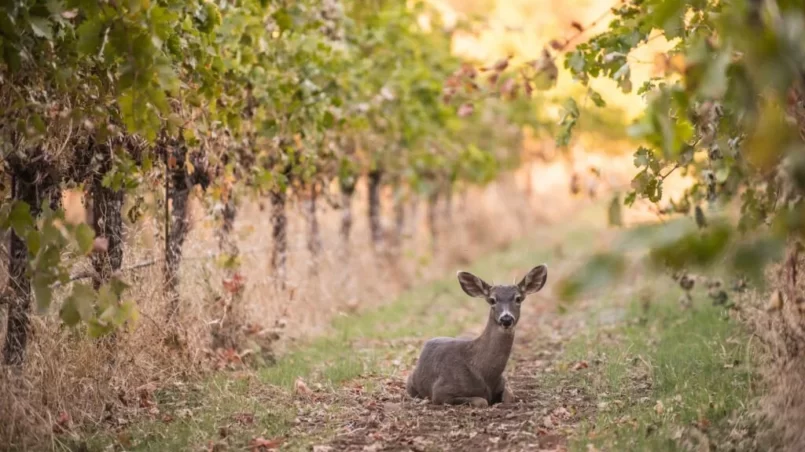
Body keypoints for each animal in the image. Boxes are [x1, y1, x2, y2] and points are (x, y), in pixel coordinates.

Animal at [408, 264, 548, 408]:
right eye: (492, 300)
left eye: (518, 298)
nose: (506, 319)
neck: (484, 374)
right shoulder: (440, 391)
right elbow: (482, 401)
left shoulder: (503, 381)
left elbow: (510, 397)